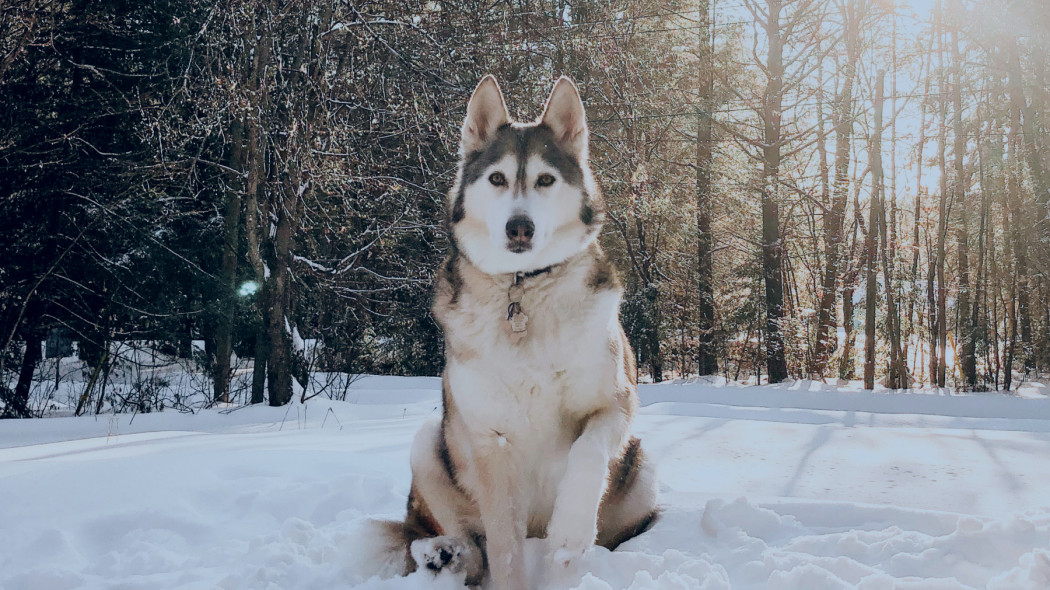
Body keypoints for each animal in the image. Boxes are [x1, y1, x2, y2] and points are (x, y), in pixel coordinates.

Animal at [377, 75, 655, 587]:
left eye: (545, 180)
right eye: (497, 179)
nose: (519, 227)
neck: (522, 289)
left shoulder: (616, 403)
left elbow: (588, 452)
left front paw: (569, 532)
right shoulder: (491, 441)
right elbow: (503, 549)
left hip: (643, 464)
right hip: (431, 441)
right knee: (452, 539)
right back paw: (443, 553)